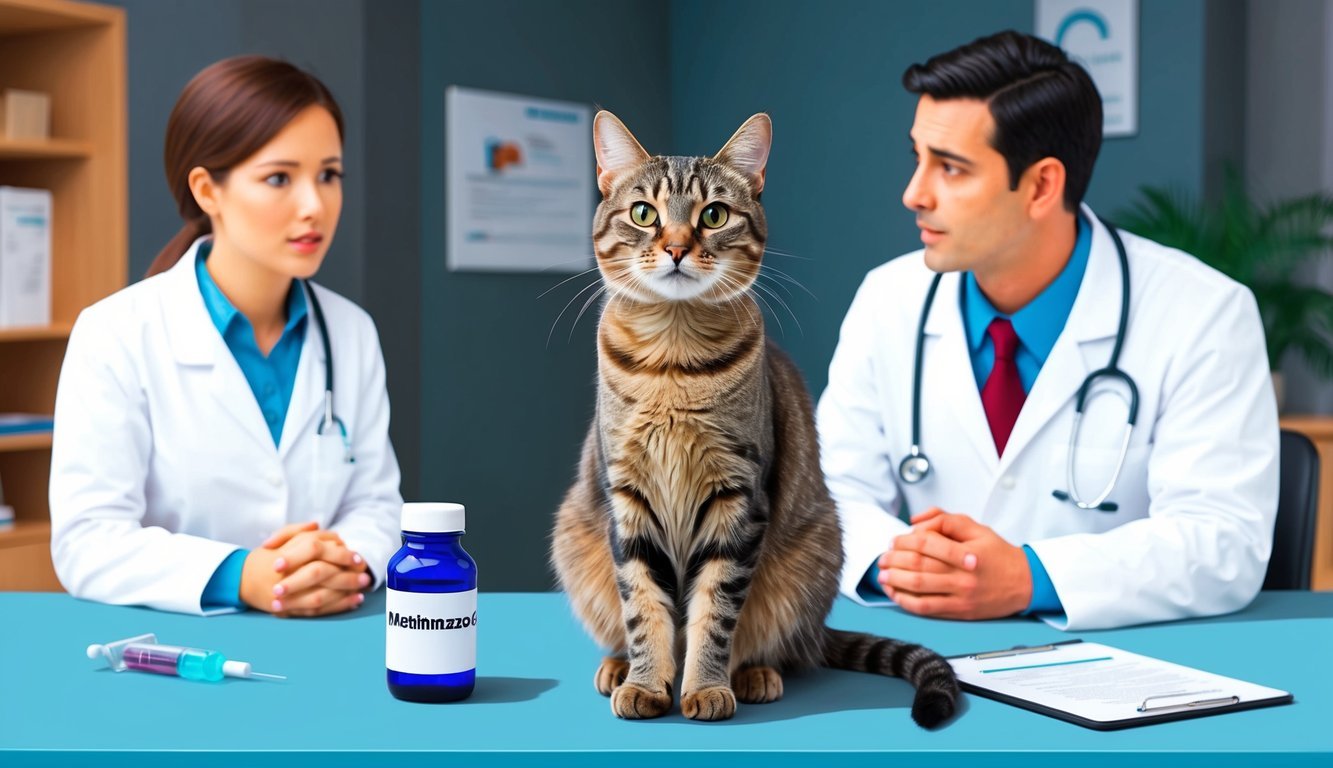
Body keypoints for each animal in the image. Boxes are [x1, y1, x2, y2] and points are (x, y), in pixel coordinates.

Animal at [549, 109, 959, 725]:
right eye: (644, 213)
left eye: (713, 215)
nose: (676, 247)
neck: (672, 365)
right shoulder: (627, 493)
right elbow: (644, 605)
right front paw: (647, 681)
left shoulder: (737, 494)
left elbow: (714, 611)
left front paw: (704, 685)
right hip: (576, 534)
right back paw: (619, 666)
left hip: (813, 549)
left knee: (777, 646)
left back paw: (753, 675)